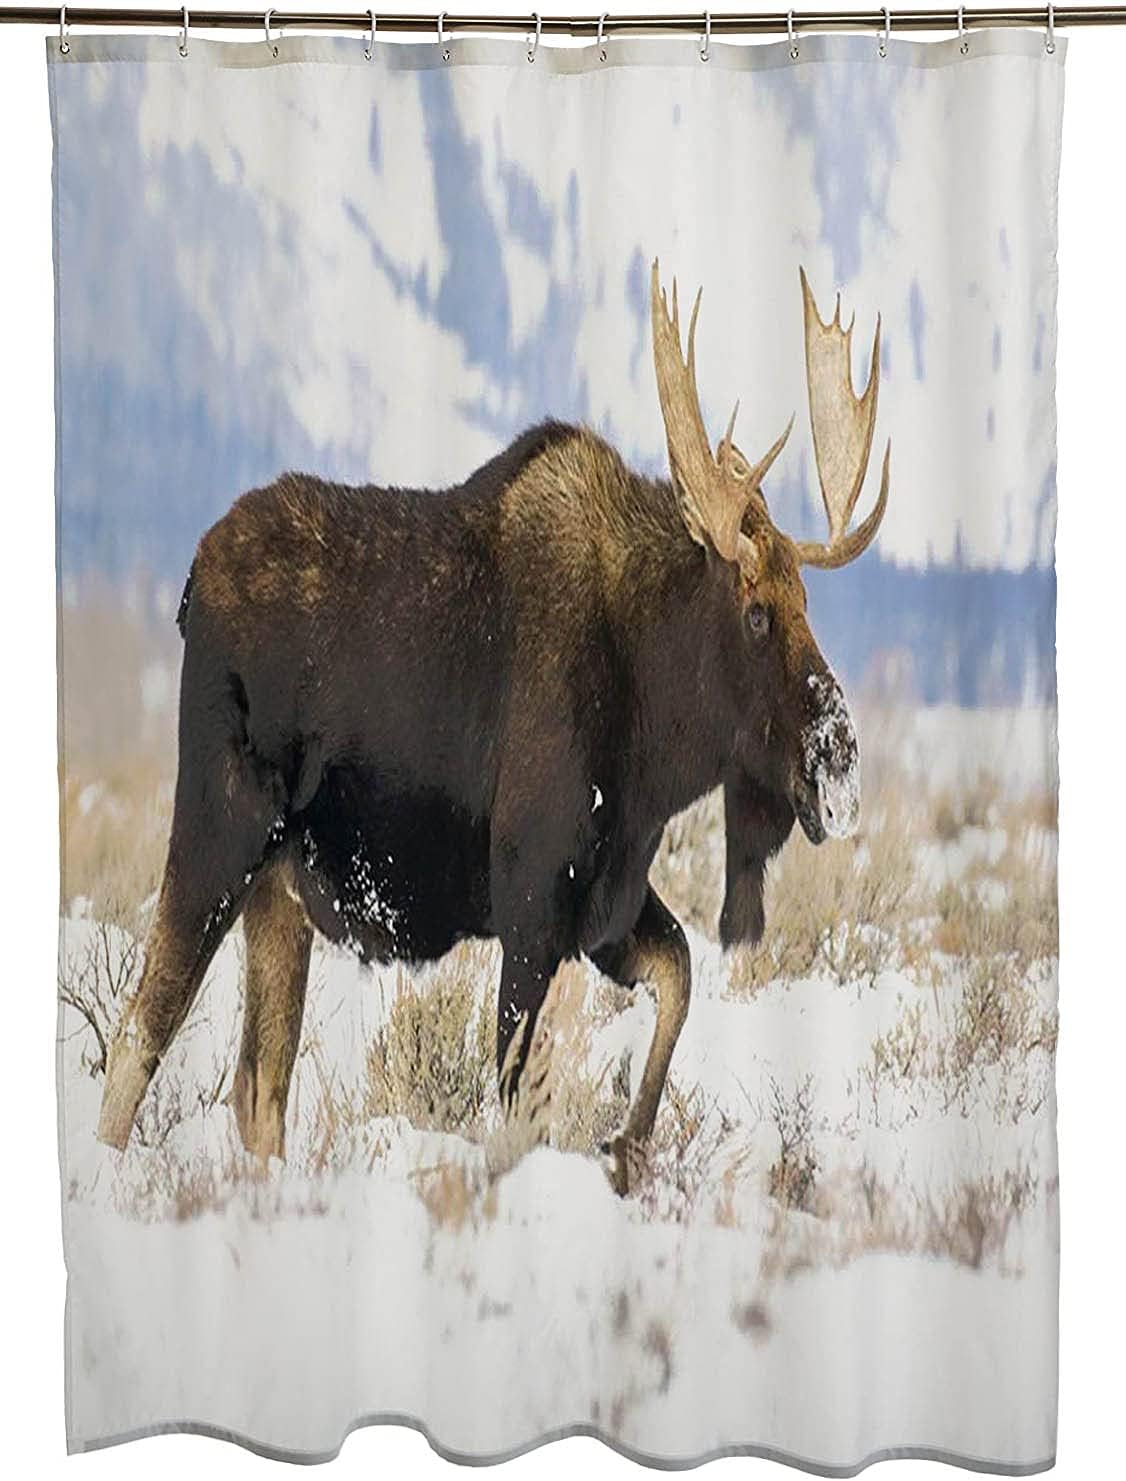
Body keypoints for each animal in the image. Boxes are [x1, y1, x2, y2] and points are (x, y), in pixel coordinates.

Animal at [96, 262, 889, 1194]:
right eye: (758, 611)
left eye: (808, 604)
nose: (839, 758)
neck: (654, 740)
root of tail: (189, 583)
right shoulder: (531, 895)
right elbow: (517, 1100)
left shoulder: (608, 900)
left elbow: (681, 975)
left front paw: (625, 1147)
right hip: (219, 828)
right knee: (138, 1035)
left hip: (279, 892)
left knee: (258, 1084)